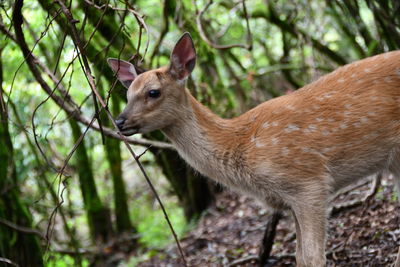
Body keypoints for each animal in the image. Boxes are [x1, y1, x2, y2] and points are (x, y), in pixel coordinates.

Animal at [107, 32, 400, 266]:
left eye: (153, 92)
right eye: (127, 94)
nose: (119, 121)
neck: (241, 144)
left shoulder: (310, 183)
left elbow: (313, 257)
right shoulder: (290, 199)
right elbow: (299, 256)